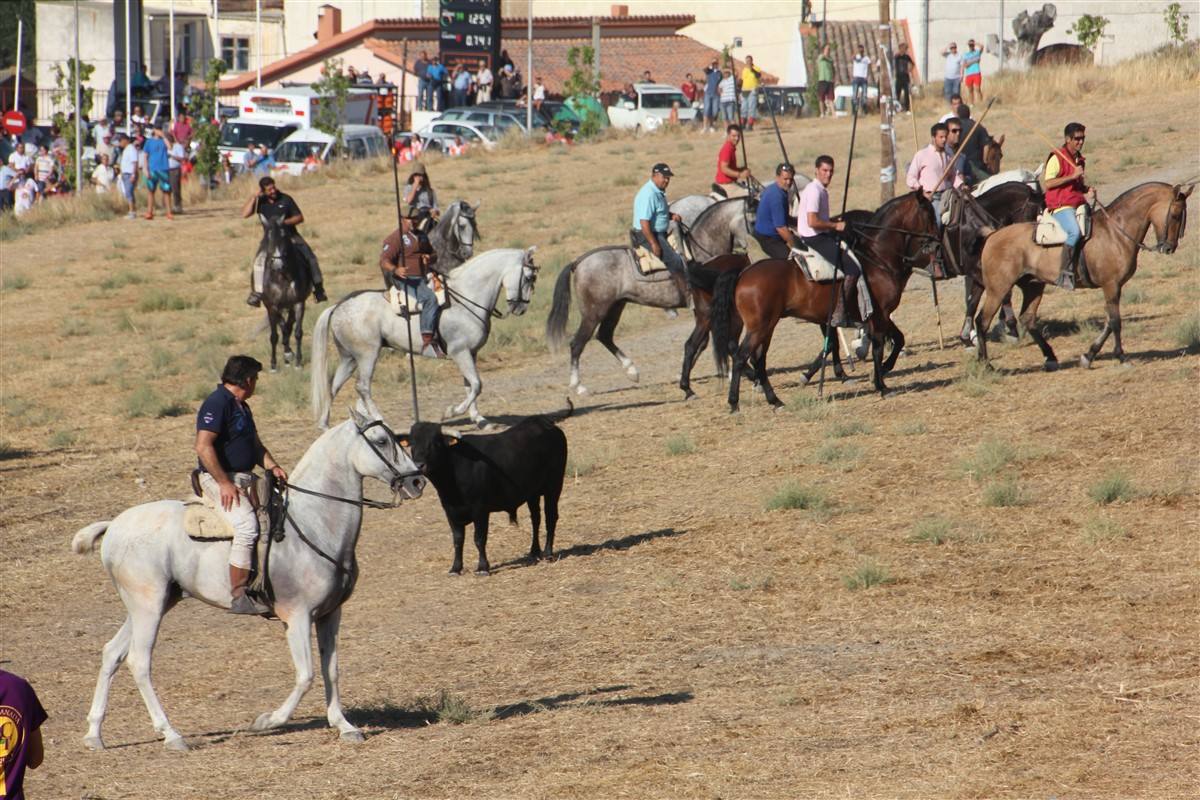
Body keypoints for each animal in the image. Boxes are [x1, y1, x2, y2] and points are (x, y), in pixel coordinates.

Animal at [71, 410, 427, 753]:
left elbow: (332, 670)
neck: (314, 522)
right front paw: (267, 721)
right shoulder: (297, 617)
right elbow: (306, 675)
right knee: (139, 661)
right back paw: (172, 735)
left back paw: (94, 735)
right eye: (380, 441)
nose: (417, 480)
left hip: (150, 605)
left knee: (112, 653)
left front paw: (345, 726)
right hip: (149, 606)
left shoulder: (329, 615)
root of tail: (114, 525)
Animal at [312, 247, 537, 429]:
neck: (466, 299)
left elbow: (470, 385)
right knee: (362, 387)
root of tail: (339, 306)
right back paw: (381, 421)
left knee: (332, 387)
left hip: (349, 358)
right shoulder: (460, 352)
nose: (521, 308)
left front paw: (480, 420)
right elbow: (476, 385)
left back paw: (324, 425)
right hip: (368, 355)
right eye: (528, 278)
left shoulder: (470, 353)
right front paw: (450, 412)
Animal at [705, 190, 940, 410]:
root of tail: (743, 273)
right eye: (928, 212)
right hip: (760, 326)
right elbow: (878, 347)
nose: (936, 242)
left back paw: (775, 400)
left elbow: (898, 339)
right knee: (742, 356)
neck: (877, 259)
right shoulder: (879, 314)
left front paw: (882, 370)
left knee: (759, 359)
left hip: (767, 326)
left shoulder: (878, 315)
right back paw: (734, 402)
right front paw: (881, 385)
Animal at [974, 181, 1190, 369]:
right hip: (998, 289)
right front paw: (1120, 356)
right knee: (982, 321)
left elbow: (1108, 322)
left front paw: (1089, 355)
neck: (1115, 232)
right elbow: (1115, 322)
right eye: (1175, 215)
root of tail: (992, 236)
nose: (1169, 248)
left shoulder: (1115, 287)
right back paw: (986, 364)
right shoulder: (1111, 285)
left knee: (1027, 318)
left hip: (1033, 286)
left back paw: (1050, 358)